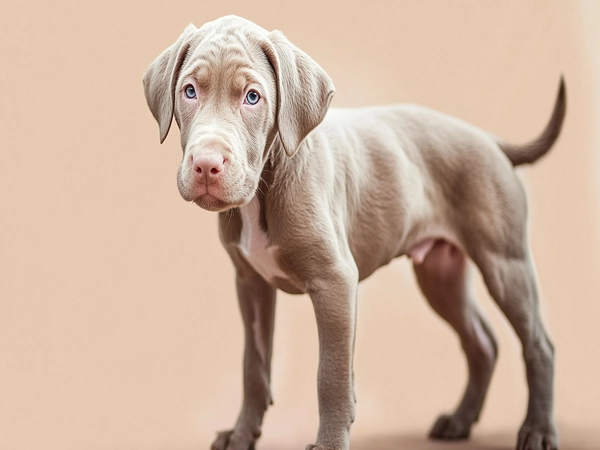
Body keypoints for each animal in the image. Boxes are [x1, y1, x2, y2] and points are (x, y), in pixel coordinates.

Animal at [143, 14, 564, 450]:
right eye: (189, 91)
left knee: (538, 344)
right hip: (440, 273)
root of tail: (491, 140)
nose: (206, 165)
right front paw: (242, 434)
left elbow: (331, 374)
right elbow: (254, 366)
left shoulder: (335, 281)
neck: (265, 186)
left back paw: (537, 430)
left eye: (253, 97)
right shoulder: (250, 284)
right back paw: (460, 421)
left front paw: (329, 443)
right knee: (482, 343)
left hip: (505, 262)